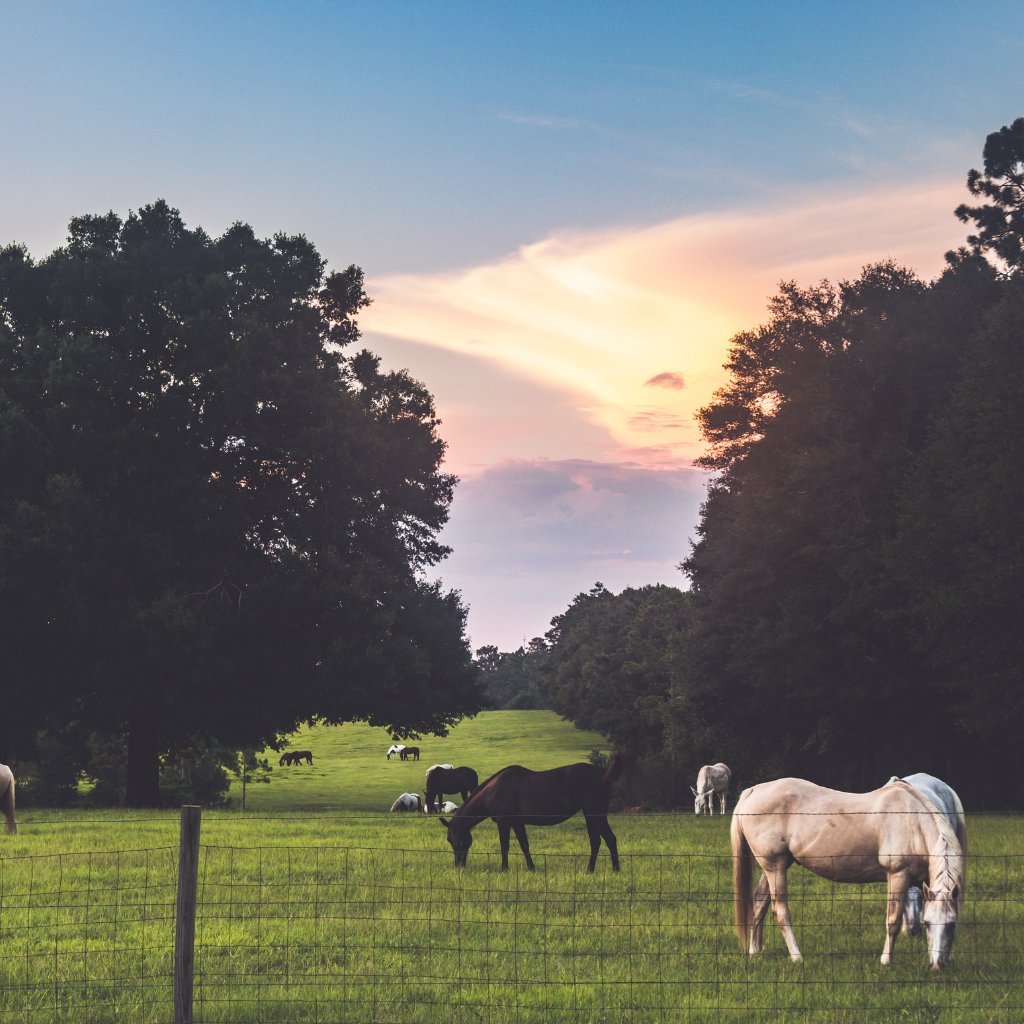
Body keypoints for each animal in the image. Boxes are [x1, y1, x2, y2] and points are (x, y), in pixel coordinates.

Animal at [438, 753, 622, 872]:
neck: (493, 791)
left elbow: (505, 846)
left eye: (450, 838)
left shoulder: (504, 822)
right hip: (590, 815)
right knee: (596, 841)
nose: (458, 865)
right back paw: (590, 869)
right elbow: (524, 845)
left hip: (596, 815)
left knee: (610, 839)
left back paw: (616, 869)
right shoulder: (517, 822)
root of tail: (604, 773)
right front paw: (531, 868)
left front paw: (504, 869)